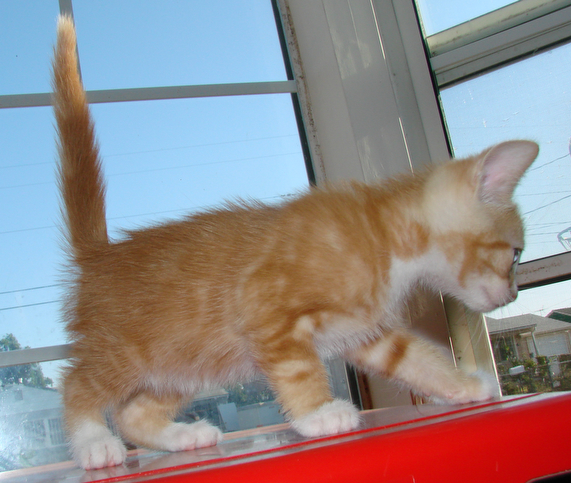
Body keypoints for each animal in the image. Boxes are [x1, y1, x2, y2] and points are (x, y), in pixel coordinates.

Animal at [51, 15, 540, 468]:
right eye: (516, 255)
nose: (514, 293)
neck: (387, 232)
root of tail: (100, 254)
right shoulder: (266, 307)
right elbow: (297, 367)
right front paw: (318, 413)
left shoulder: (368, 332)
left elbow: (417, 358)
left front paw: (464, 385)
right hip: (128, 349)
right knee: (78, 383)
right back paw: (93, 442)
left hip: (185, 361)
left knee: (133, 411)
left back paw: (180, 436)